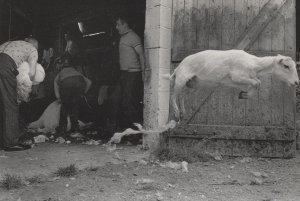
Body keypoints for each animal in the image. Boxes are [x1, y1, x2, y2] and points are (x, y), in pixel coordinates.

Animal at [165, 49, 298, 120]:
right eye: (286, 66)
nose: (297, 82)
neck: (254, 64)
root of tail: (178, 67)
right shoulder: (237, 76)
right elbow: (257, 83)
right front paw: (244, 94)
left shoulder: (239, 80)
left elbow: (257, 83)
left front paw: (244, 94)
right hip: (181, 80)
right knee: (173, 96)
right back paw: (176, 113)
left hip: (192, 84)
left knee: (182, 96)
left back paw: (183, 113)